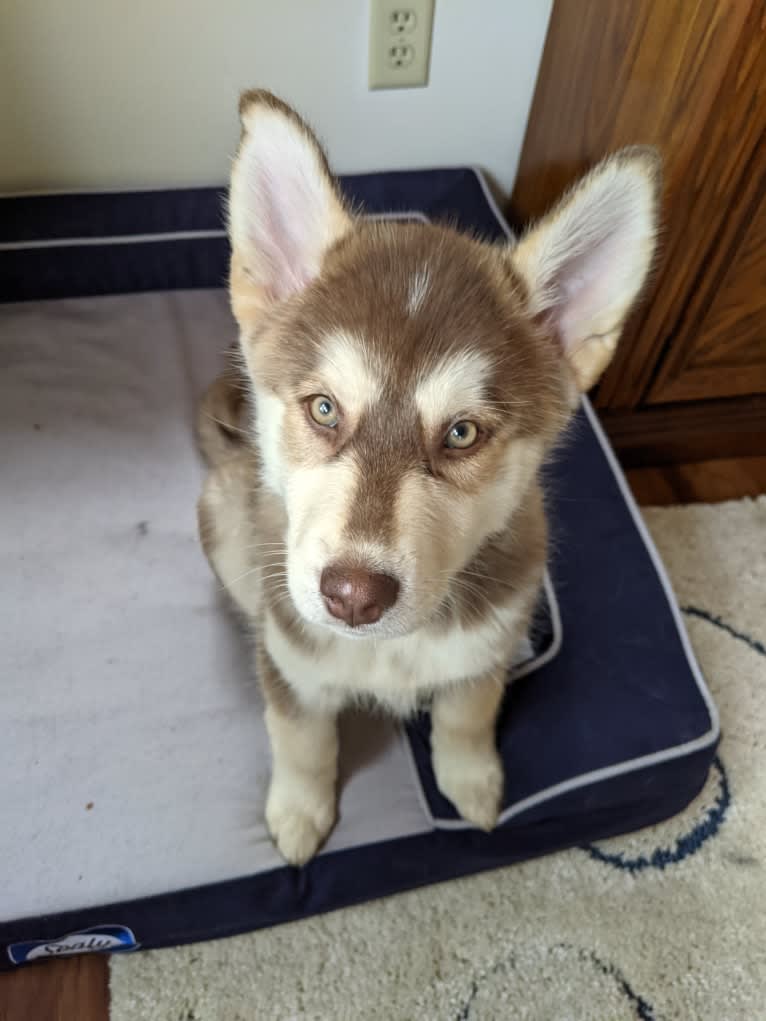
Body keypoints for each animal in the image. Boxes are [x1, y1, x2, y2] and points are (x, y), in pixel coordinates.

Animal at [198, 91, 661, 865]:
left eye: (462, 433)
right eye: (324, 408)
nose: (354, 596)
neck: (390, 652)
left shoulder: (483, 653)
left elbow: (467, 717)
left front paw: (470, 781)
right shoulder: (293, 665)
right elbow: (301, 740)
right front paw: (299, 811)